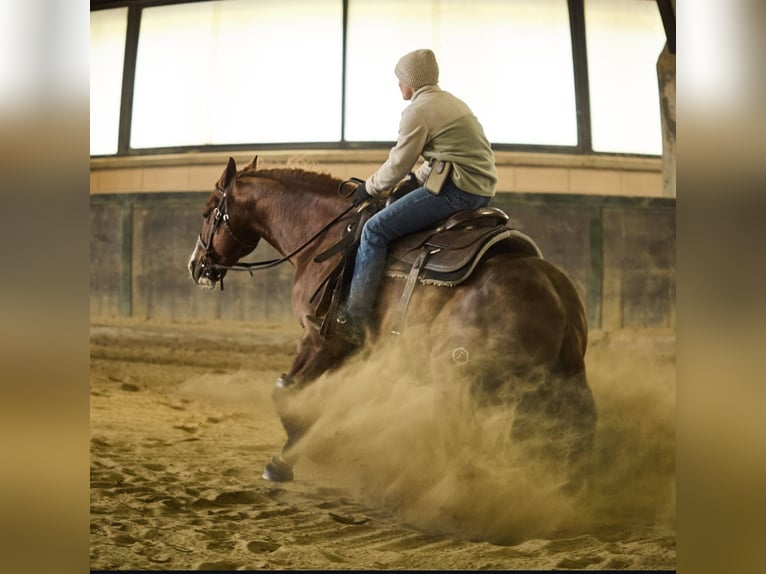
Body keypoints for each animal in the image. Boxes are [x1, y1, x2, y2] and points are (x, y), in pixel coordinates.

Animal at [189, 156, 596, 486]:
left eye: (208, 212)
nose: (195, 266)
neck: (327, 238)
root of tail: (557, 296)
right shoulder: (347, 350)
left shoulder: (319, 337)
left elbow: (285, 390)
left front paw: (282, 461)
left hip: (464, 381)